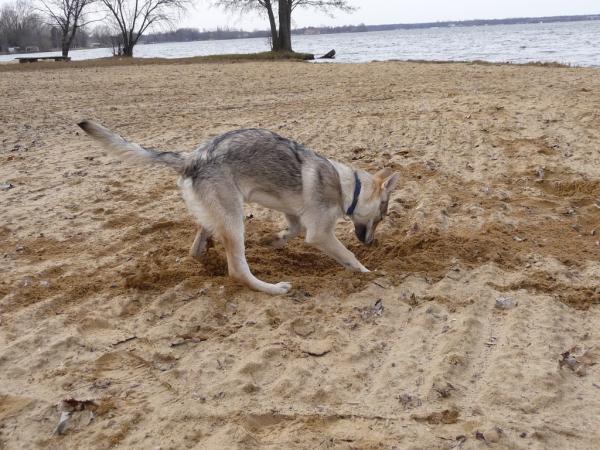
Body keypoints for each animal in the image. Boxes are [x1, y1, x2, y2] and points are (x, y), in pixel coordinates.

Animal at [78, 119, 398, 296]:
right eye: (382, 216)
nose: (373, 243)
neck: (347, 186)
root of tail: (191, 157)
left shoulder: (294, 214)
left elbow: (292, 230)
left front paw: (274, 240)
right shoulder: (319, 234)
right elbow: (348, 256)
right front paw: (369, 272)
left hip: (218, 215)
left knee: (196, 249)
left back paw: (206, 254)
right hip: (234, 219)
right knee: (237, 272)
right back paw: (274, 289)